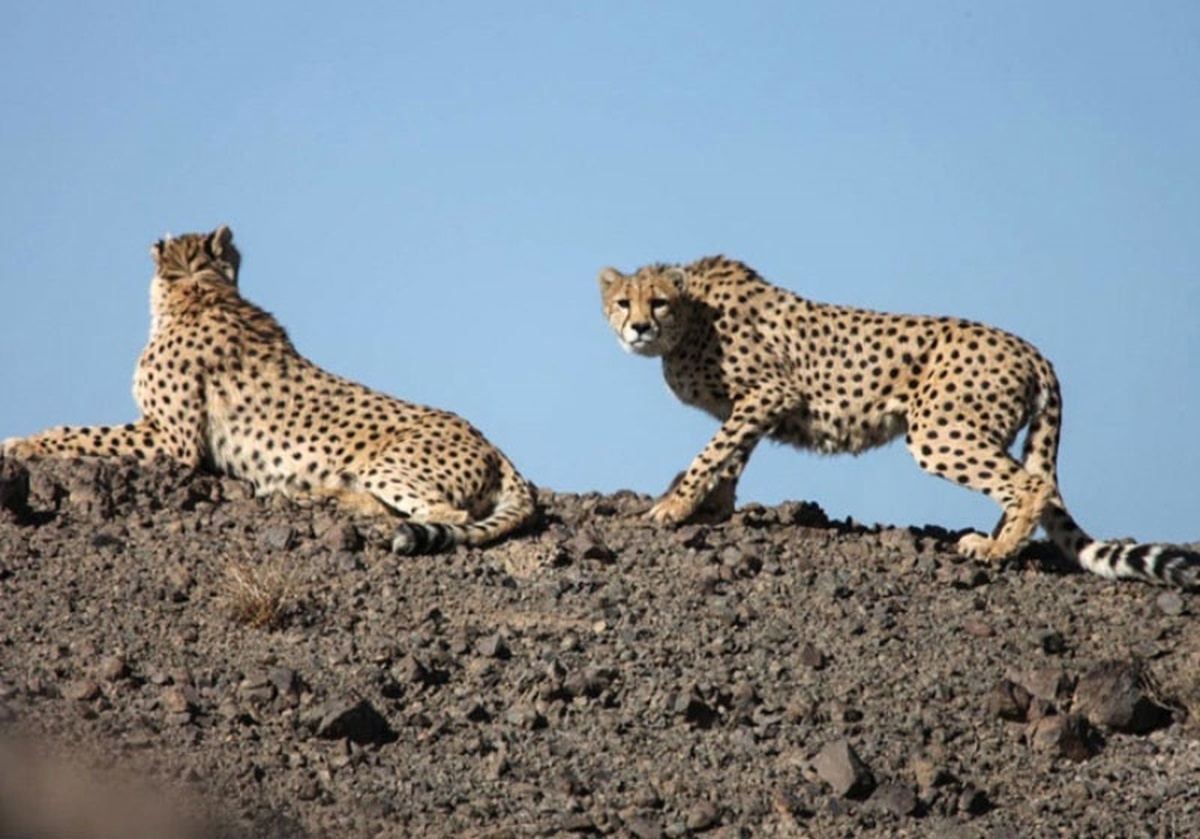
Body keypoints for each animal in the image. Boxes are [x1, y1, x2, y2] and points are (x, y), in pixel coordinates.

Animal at [0, 226, 535, 554]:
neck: (200, 291)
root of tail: (494, 445)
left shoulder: (175, 443)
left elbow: (83, 433)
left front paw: (23, 442)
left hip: (386, 463)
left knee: (445, 511)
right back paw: (318, 494)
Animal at [600, 253, 1200, 588]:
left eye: (657, 302)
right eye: (622, 302)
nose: (637, 328)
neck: (690, 320)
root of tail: (1032, 350)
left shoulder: (770, 391)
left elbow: (711, 454)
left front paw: (674, 507)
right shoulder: (750, 406)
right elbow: (730, 455)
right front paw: (714, 509)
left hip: (938, 430)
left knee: (1032, 484)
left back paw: (996, 551)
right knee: (1028, 483)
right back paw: (991, 540)